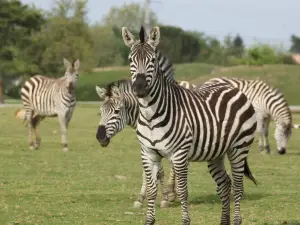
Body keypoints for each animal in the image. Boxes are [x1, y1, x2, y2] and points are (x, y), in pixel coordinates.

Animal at [95, 80, 197, 208]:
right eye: (101, 111)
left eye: (117, 111)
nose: (100, 137)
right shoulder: (148, 147)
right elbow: (148, 172)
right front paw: (141, 198)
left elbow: (159, 172)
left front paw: (164, 198)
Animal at [121, 26, 258, 225]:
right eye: (131, 60)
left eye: (152, 60)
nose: (139, 88)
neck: (150, 116)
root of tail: (233, 88)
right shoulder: (148, 154)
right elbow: (152, 190)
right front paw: (149, 220)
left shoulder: (179, 155)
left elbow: (183, 191)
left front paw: (185, 220)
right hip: (216, 153)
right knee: (225, 184)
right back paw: (224, 221)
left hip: (239, 148)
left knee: (238, 187)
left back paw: (237, 220)